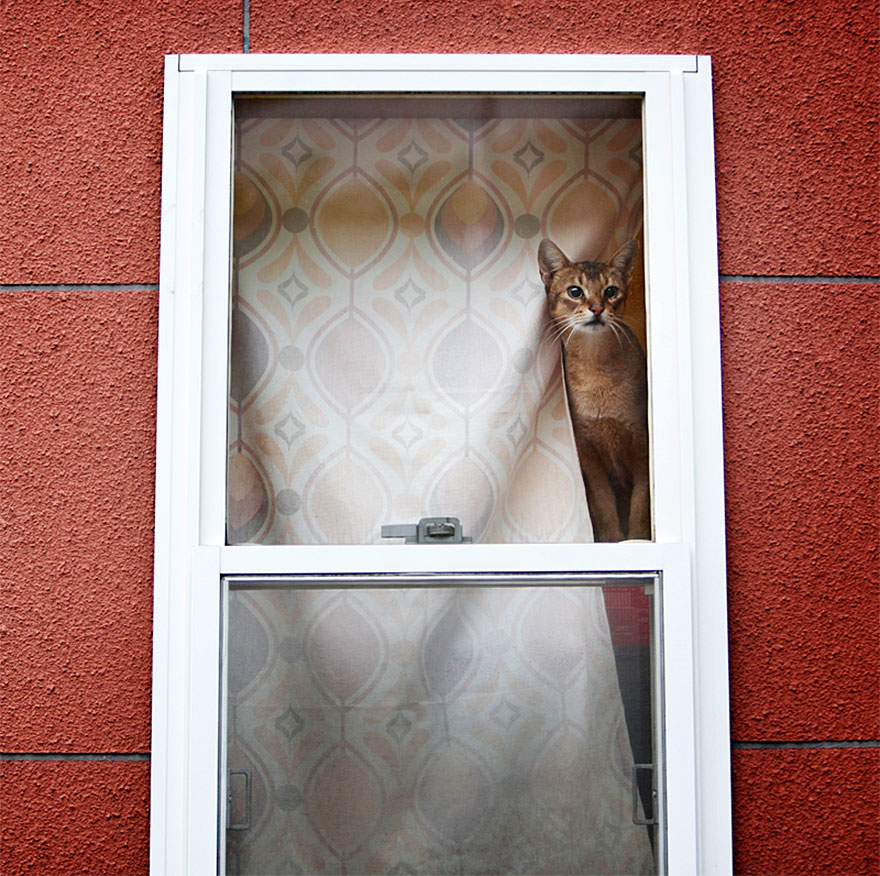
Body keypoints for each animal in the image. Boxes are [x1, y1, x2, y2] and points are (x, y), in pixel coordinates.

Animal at [536, 238, 652, 540]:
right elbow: (604, 503)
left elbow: (641, 505)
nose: (598, 309)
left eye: (610, 291)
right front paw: (612, 539)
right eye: (575, 291)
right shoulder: (587, 452)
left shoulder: (642, 446)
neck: (596, 369)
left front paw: (635, 540)